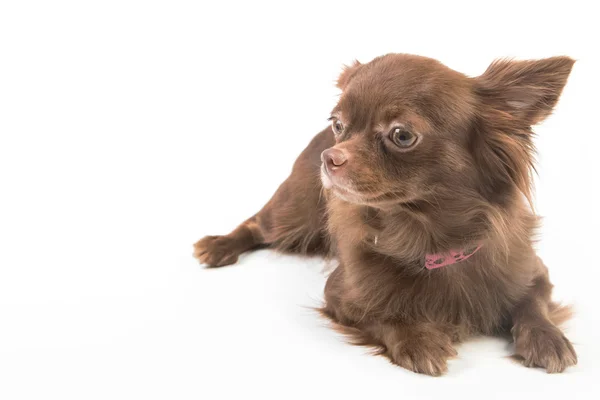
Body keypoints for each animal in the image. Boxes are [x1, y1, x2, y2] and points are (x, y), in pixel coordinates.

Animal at [193, 52, 576, 376]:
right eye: (338, 124)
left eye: (401, 135)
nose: (330, 157)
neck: (430, 238)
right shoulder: (341, 294)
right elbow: (381, 313)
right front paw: (418, 339)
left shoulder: (534, 274)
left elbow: (533, 304)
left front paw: (547, 338)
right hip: (294, 214)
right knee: (257, 224)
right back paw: (218, 246)